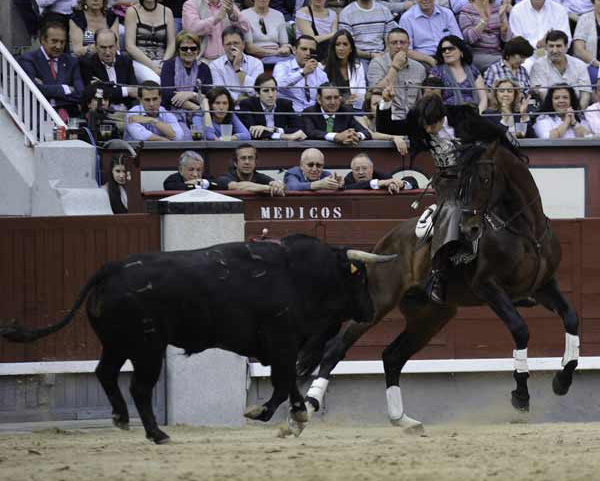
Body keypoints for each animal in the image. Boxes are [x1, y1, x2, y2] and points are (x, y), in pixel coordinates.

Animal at [0, 233, 396, 442]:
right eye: (360, 279)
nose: (370, 311)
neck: (302, 274)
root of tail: (110, 268)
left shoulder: (281, 348)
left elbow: (288, 384)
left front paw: (296, 419)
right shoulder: (281, 342)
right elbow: (283, 383)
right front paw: (266, 413)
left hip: (117, 343)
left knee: (105, 373)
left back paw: (122, 418)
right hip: (147, 347)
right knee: (139, 387)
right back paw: (157, 433)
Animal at [296, 141, 580, 434]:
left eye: (484, 179)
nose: (469, 228)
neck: (525, 232)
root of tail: (384, 241)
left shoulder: (543, 286)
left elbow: (571, 318)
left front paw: (562, 381)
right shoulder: (489, 288)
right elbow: (521, 330)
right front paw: (521, 396)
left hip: (432, 315)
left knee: (392, 356)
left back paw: (402, 419)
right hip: (377, 304)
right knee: (335, 349)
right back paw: (308, 407)